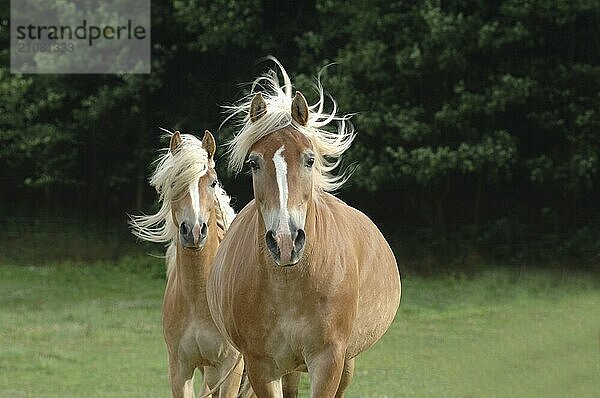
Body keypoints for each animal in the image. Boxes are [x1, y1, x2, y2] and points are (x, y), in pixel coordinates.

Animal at [131, 131, 244, 398]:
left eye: (213, 183)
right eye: (174, 183)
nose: (193, 231)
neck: (199, 299)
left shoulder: (231, 369)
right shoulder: (180, 368)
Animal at [207, 60, 404, 396]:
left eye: (309, 159)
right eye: (254, 163)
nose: (285, 241)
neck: (290, 284)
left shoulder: (328, 360)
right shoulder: (261, 365)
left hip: (346, 362)